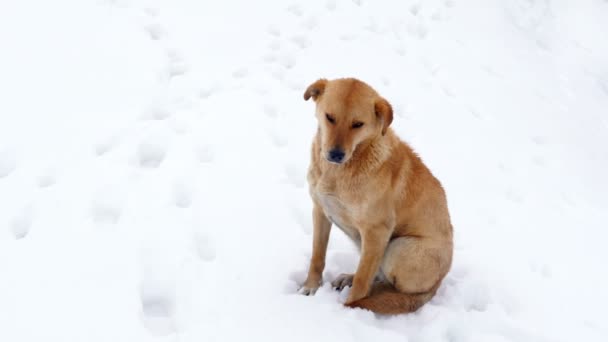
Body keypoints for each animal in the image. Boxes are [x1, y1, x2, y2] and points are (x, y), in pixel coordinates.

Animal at [300, 76, 452, 314]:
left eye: (358, 124)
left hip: (399, 247)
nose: (335, 154)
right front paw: (310, 287)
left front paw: (349, 308)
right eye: (330, 117)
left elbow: (363, 281)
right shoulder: (321, 211)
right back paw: (347, 278)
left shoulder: (376, 231)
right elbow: (317, 256)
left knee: (390, 287)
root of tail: (437, 285)